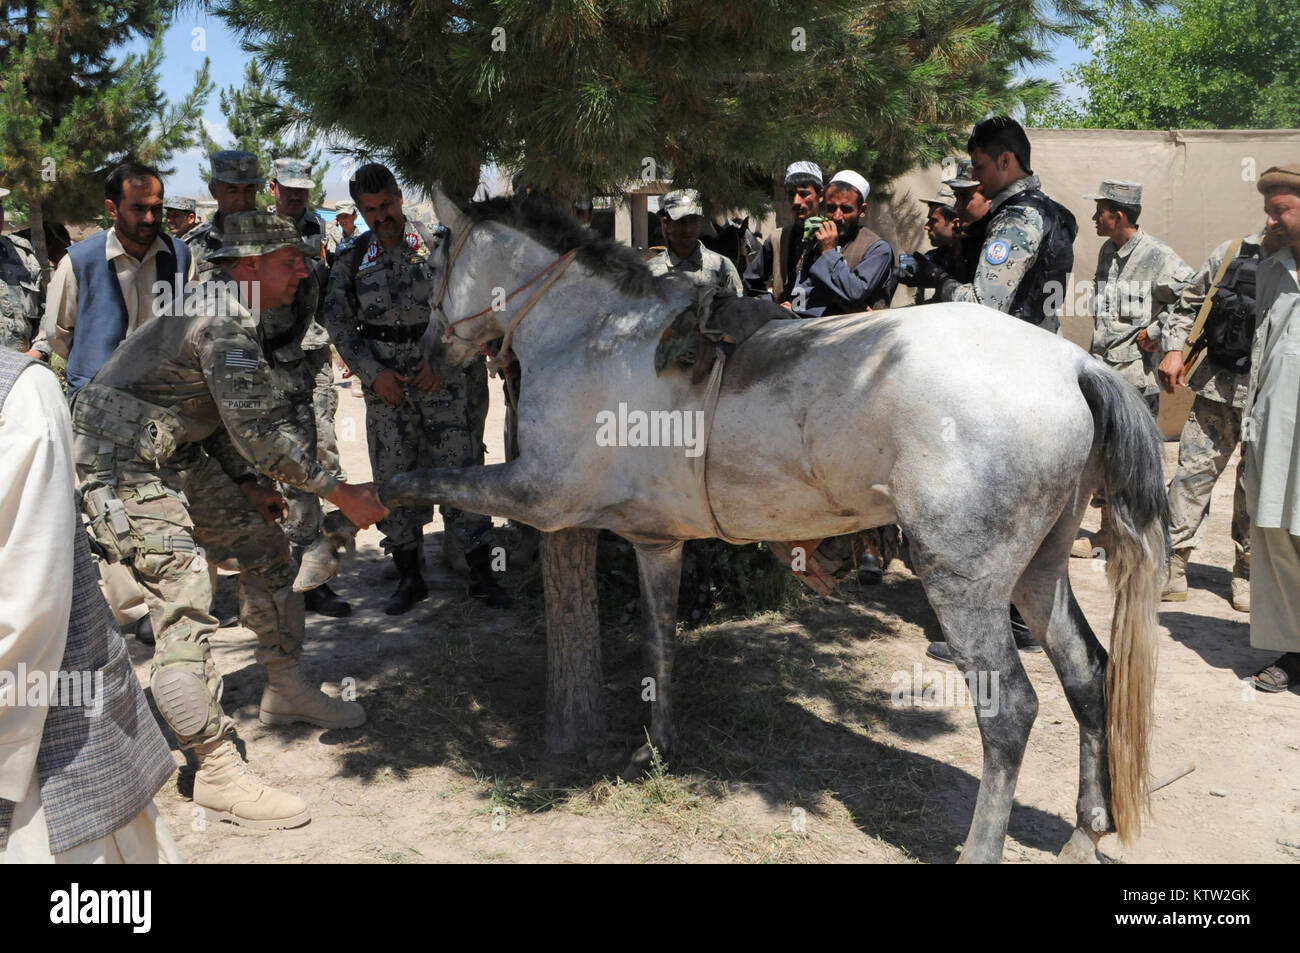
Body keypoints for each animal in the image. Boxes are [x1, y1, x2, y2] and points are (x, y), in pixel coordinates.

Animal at [384, 187, 1170, 863]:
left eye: (435, 252)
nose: (425, 354)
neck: (595, 335)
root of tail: (1071, 366)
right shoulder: (655, 540)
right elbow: (659, 643)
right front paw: (657, 746)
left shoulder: (538, 492)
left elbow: (431, 479)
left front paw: (376, 496)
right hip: (1038, 574)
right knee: (1087, 673)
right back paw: (1085, 831)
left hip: (965, 584)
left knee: (1009, 711)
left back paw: (982, 847)